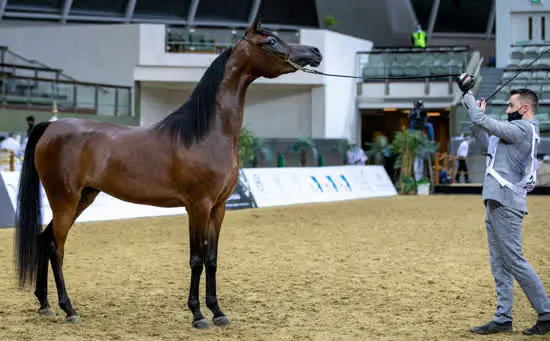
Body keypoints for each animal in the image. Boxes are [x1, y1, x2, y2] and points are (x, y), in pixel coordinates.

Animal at [14, 17, 324, 328]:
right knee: (57, 248)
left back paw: (45, 304)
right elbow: (196, 259)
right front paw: (198, 315)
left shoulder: (219, 208)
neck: (207, 133)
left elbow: (212, 260)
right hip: (64, 200)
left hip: (83, 198)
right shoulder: (198, 206)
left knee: (44, 240)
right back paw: (69, 309)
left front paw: (218, 312)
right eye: (270, 41)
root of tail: (51, 126)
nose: (315, 52)